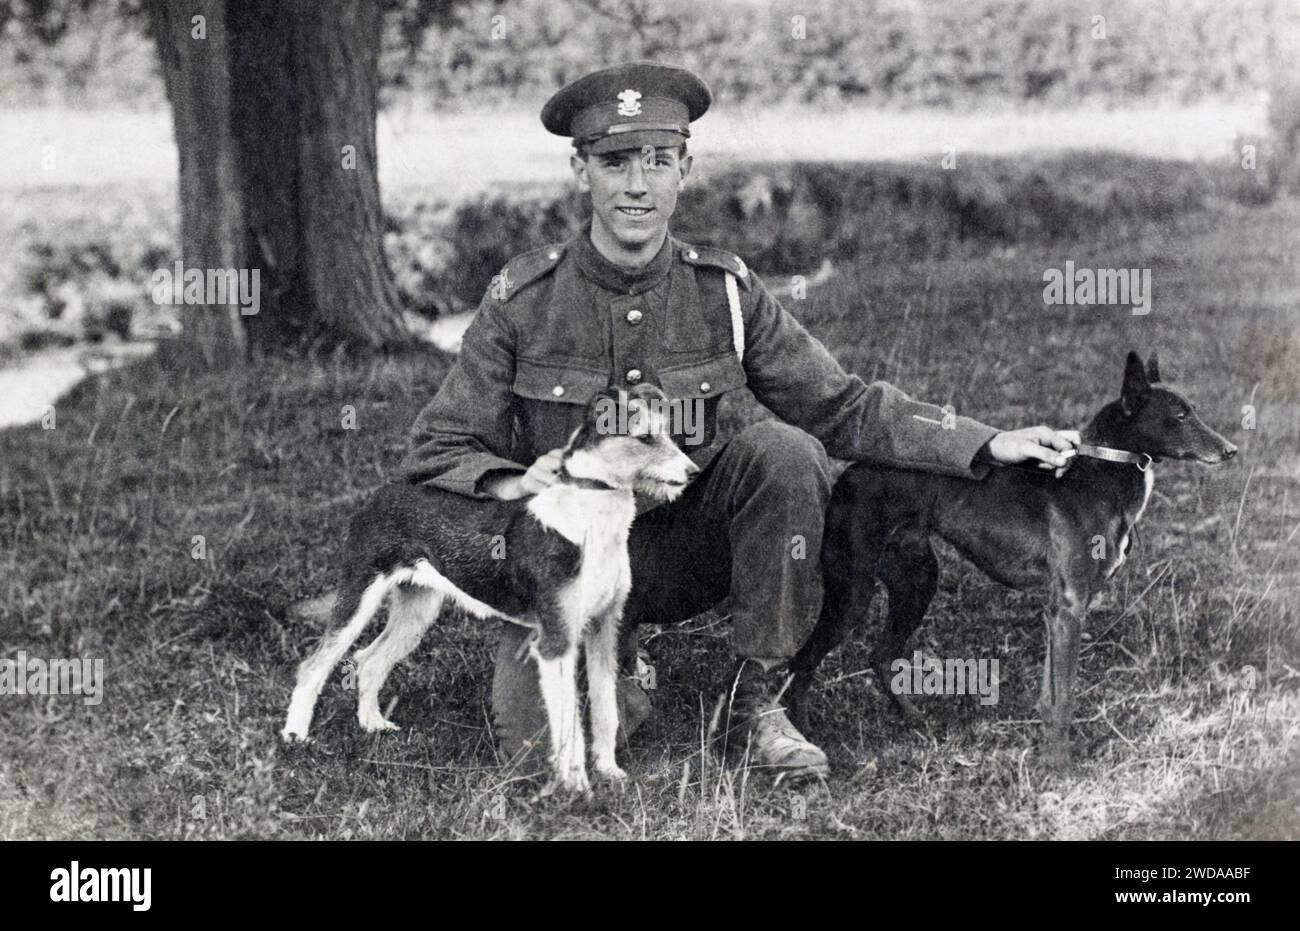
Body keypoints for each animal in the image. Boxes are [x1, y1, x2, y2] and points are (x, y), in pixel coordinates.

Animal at [280, 384, 696, 790]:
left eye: (670, 433)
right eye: (644, 437)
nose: (692, 472)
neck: (588, 516)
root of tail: (384, 491)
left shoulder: (602, 630)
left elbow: (606, 711)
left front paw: (609, 771)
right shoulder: (556, 642)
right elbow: (569, 725)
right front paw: (576, 787)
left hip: (417, 609)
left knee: (369, 660)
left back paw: (373, 725)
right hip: (358, 598)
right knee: (314, 666)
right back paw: (296, 735)